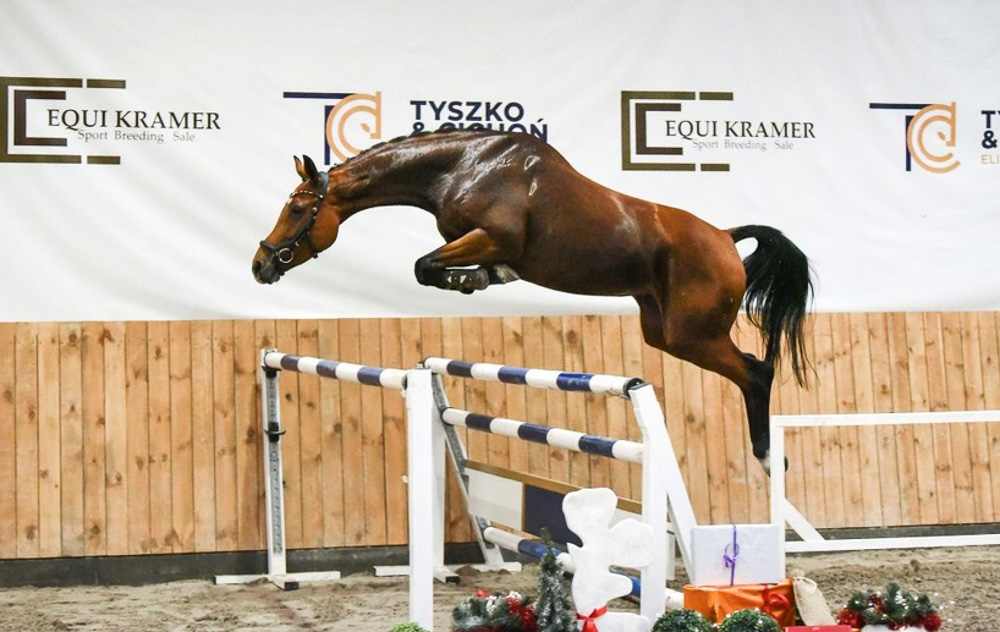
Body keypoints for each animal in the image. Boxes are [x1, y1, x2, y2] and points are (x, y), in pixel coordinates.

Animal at [252, 129, 812, 472]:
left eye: (298, 208)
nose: (260, 264)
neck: (462, 166)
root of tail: (724, 236)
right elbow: (431, 266)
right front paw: (482, 278)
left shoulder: (492, 237)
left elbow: (426, 266)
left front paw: (477, 279)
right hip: (663, 329)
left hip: (692, 333)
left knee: (757, 371)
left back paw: (768, 458)